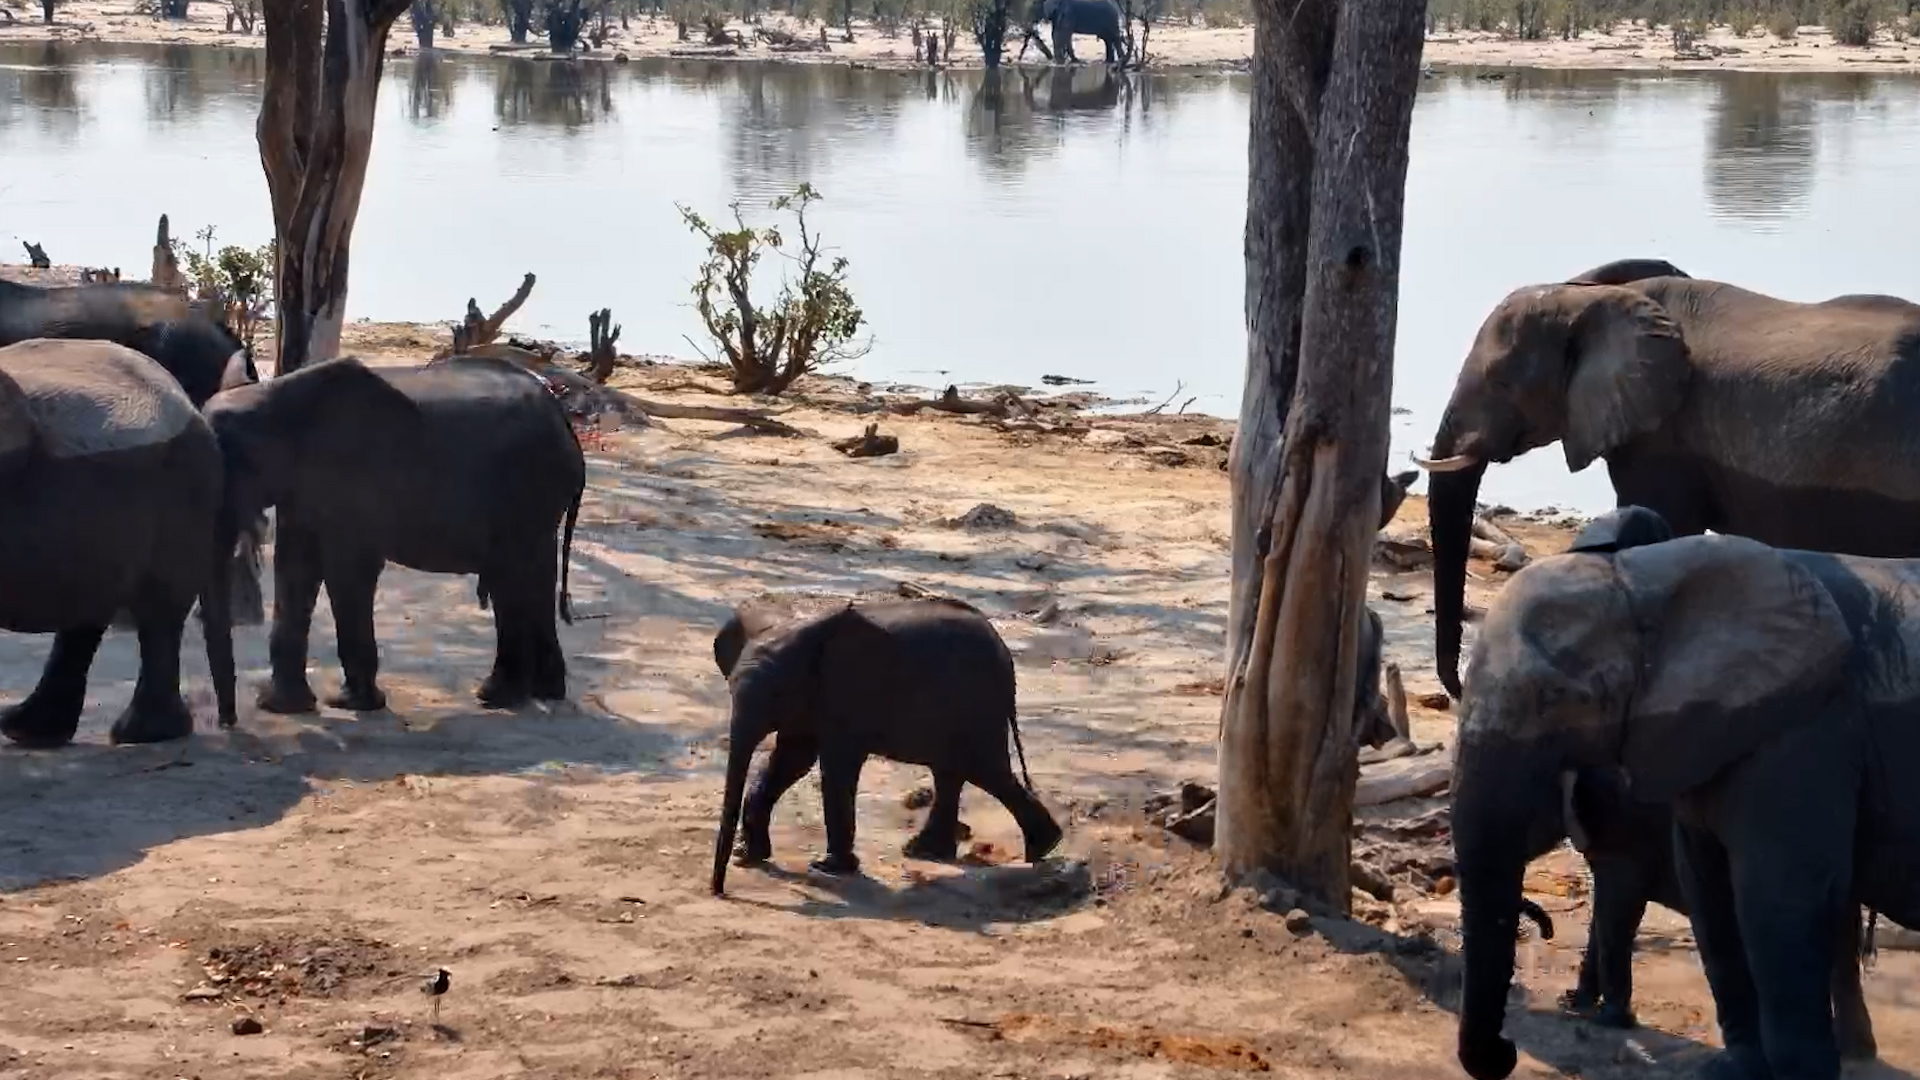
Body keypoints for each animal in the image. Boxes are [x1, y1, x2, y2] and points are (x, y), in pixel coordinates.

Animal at [198, 355, 585, 727]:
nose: (228, 722)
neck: (272, 399)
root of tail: (566, 426)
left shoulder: (352, 481)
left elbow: (346, 571)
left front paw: (350, 703)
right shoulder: (301, 488)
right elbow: (295, 568)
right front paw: (281, 707)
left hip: (527, 489)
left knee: (511, 580)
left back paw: (497, 696)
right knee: (536, 576)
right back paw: (545, 692)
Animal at [708, 597, 1064, 895]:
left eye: (776, 695)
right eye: (731, 690)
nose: (719, 891)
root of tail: (1005, 651)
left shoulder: (848, 694)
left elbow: (835, 763)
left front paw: (827, 868)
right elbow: (792, 759)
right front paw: (749, 855)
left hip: (978, 705)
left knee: (984, 770)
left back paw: (1042, 847)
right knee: (953, 772)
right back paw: (928, 851)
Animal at [1451, 504, 1920, 1080]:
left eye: (1554, 699)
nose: (1506, 1051)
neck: (1642, 581)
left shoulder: (1807, 731)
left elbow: (1772, 897)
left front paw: (1609, 1018)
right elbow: (1708, 889)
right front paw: (1735, 1069)